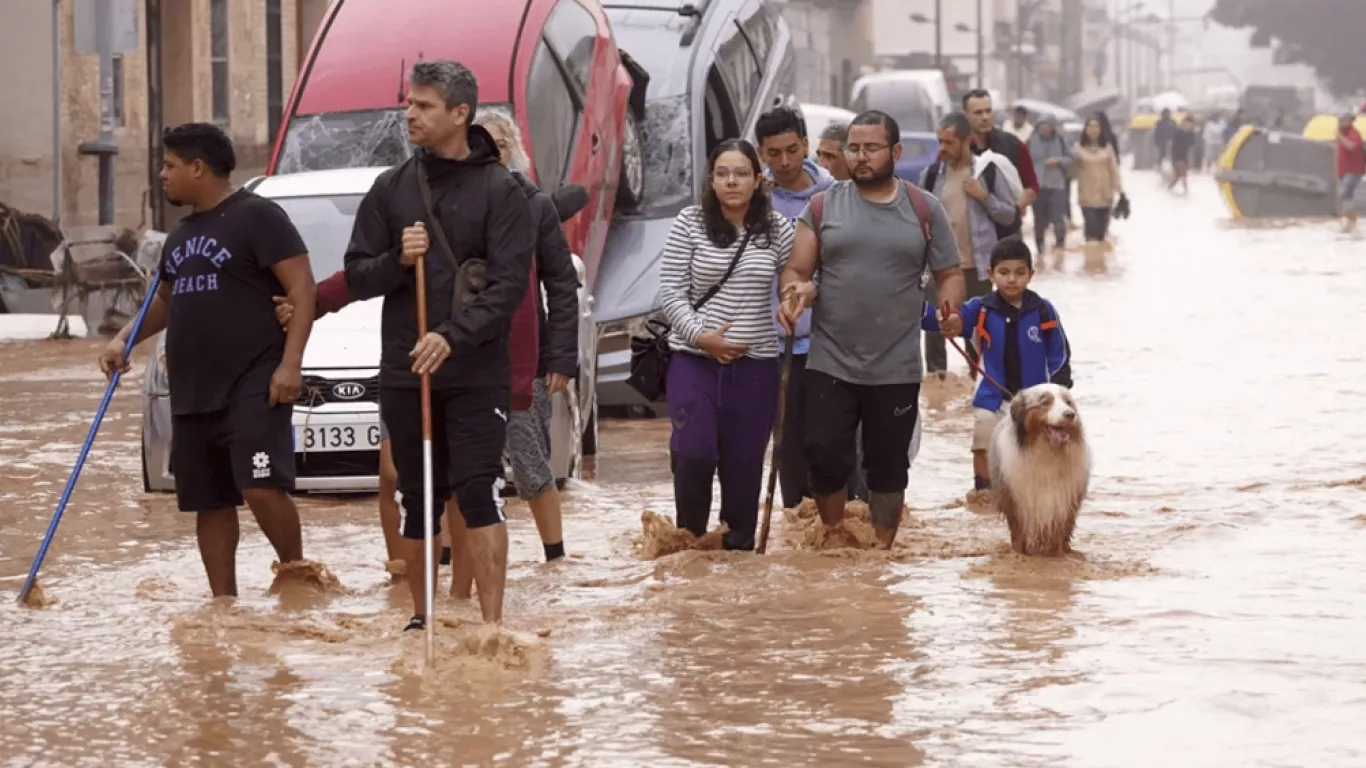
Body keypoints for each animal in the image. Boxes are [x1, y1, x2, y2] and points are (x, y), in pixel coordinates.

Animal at [988, 382, 1092, 554]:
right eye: (1045, 403)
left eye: (1068, 402)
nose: (1070, 414)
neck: (1047, 451)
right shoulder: (1015, 499)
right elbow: (1018, 532)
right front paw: (1020, 552)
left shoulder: (1065, 500)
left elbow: (1061, 532)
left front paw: (1060, 554)